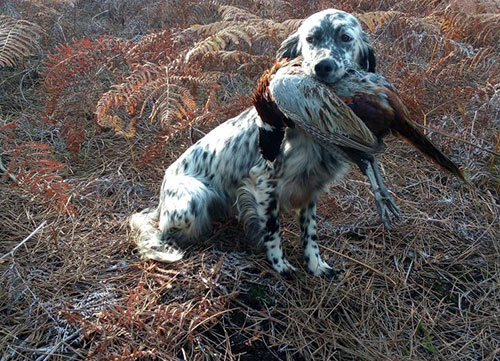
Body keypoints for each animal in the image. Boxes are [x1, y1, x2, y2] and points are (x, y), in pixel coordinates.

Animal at [130, 9, 378, 278]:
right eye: (310, 38)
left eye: (345, 37)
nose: (322, 66)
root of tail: (161, 197)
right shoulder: (263, 182)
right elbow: (272, 230)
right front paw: (280, 266)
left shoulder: (311, 186)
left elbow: (310, 233)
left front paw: (315, 264)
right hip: (192, 200)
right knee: (162, 230)